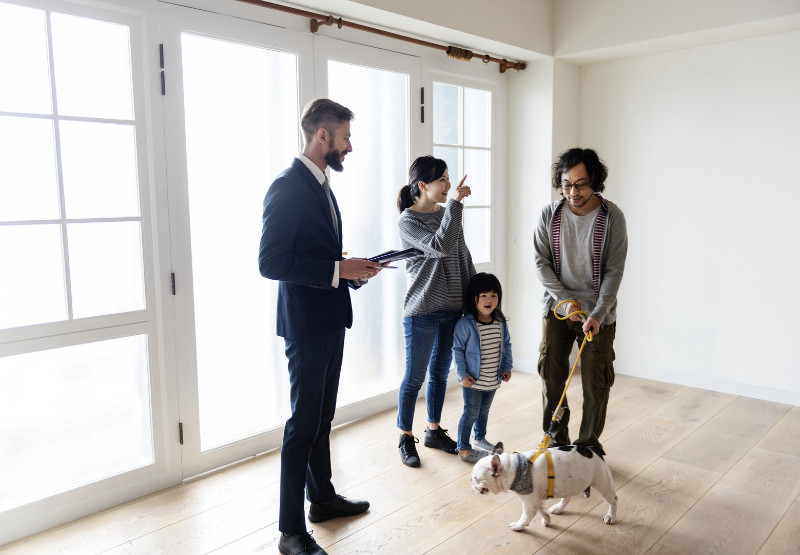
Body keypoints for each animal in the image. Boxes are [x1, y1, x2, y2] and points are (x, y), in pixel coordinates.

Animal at [468, 444, 620, 528]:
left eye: (476, 478)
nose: (471, 481)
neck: (515, 468)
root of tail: (594, 449)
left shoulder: (529, 502)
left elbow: (525, 517)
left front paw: (518, 526)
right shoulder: (535, 499)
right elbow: (541, 509)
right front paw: (546, 519)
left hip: (602, 482)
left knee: (613, 501)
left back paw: (610, 516)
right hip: (569, 484)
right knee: (567, 498)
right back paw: (558, 508)